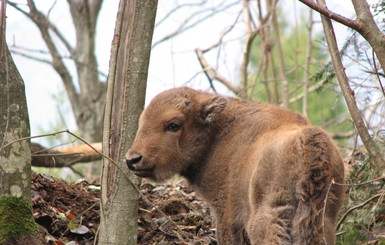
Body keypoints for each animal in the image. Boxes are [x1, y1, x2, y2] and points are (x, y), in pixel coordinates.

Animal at [126, 87, 344, 244]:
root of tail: (309, 141)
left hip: (267, 218)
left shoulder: (226, 213)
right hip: (323, 220)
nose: (132, 159)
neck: (218, 133)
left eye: (174, 125)